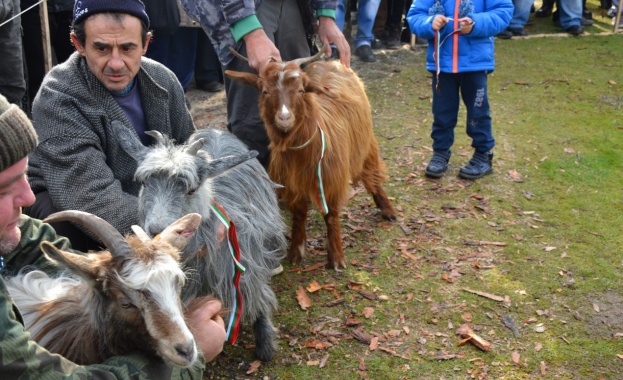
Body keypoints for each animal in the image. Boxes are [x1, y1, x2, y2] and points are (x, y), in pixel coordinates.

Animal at [117, 126, 288, 360]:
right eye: (143, 183)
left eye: (191, 189)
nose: (156, 230)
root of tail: (216, 130)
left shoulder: (246, 270)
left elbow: (258, 299)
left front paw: (266, 346)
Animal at [227, 49, 398, 272]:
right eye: (265, 91)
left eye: (300, 90)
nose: (284, 118)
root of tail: (331, 62)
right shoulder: (292, 185)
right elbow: (299, 215)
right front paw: (296, 250)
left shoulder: (330, 180)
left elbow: (331, 216)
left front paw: (336, 257)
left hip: (365, 144)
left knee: (372, 175)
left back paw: (387, 209)